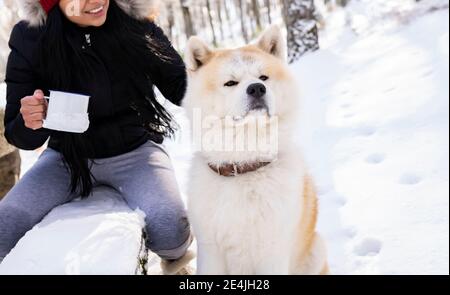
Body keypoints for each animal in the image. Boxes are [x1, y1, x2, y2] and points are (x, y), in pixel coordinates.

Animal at [182, 26, 326, 278]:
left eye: (263, 77)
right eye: (230, 83)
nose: (257, 88)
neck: (245, 167)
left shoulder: (273, 251)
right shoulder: (211, 250)